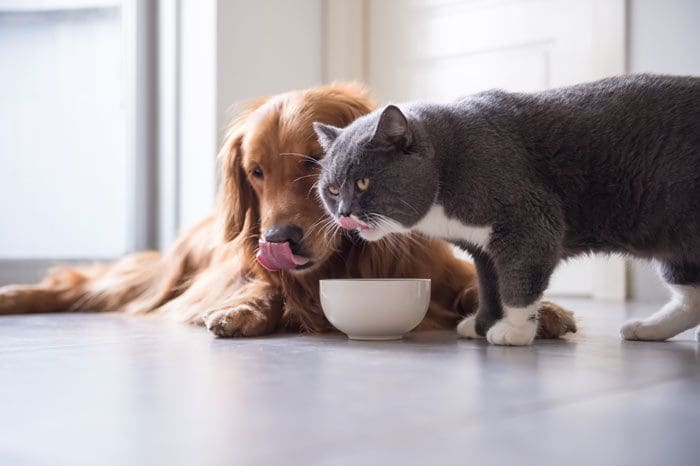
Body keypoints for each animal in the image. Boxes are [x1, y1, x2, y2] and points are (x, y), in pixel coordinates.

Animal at [0, 83, 576, 336]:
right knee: (80, 286)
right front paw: (241, 310)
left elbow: (476, 285)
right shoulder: (253, 269)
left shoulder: (437, 268)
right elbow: (265, 289)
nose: (279, 239)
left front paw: (543, 310)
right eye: (254, 172)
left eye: (313, 161)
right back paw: (16, 296)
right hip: (163, 275)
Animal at [314, 74, 700, 346]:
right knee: (690, 295)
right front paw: (482, 323)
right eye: (331, 190)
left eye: (363, 183)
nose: (344, 212)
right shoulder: (482, 247)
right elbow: (489, 286)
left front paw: (513, 330)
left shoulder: (529, 221)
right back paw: (647, 328)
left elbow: (516, 281)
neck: (448, 165)